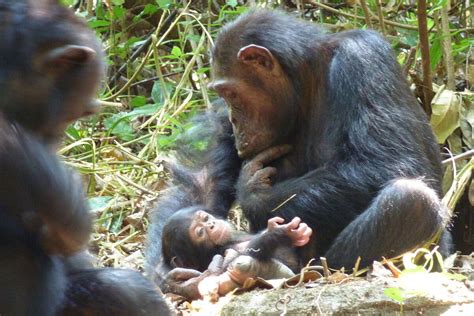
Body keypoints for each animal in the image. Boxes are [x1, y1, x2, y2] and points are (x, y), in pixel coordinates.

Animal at [146, 8, 450, 294]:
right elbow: (204, 183)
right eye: (223, 97)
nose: (233, 119)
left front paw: (254, 194)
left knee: (411, 199)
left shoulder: (362, 58)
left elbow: (388, 161)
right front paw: (164, 273)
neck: (304, 84)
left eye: (230, 93)